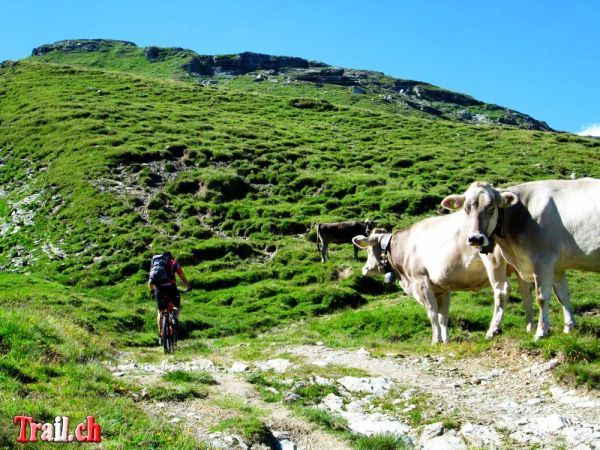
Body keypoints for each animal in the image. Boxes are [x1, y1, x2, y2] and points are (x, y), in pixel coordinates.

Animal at [354, 213, 532, 342]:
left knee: (501, 291)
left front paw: (435, 340)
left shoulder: (421, 283)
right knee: (526, 293)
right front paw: (446, 341)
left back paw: (493, 331)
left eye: (368, 250)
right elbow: (443, 316)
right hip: (519, 266)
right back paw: (530, 328)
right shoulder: (442, 289)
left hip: (494, 262)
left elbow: (432, 313)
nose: (365, 269)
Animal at [440, 178, 600, 340]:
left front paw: (540, 332)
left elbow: (541, 298)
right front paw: (568, 328)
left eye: (491, 207)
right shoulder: (557, 266)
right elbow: (562, 296)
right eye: (466, 209)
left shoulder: (543, 260)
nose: (476, 238)